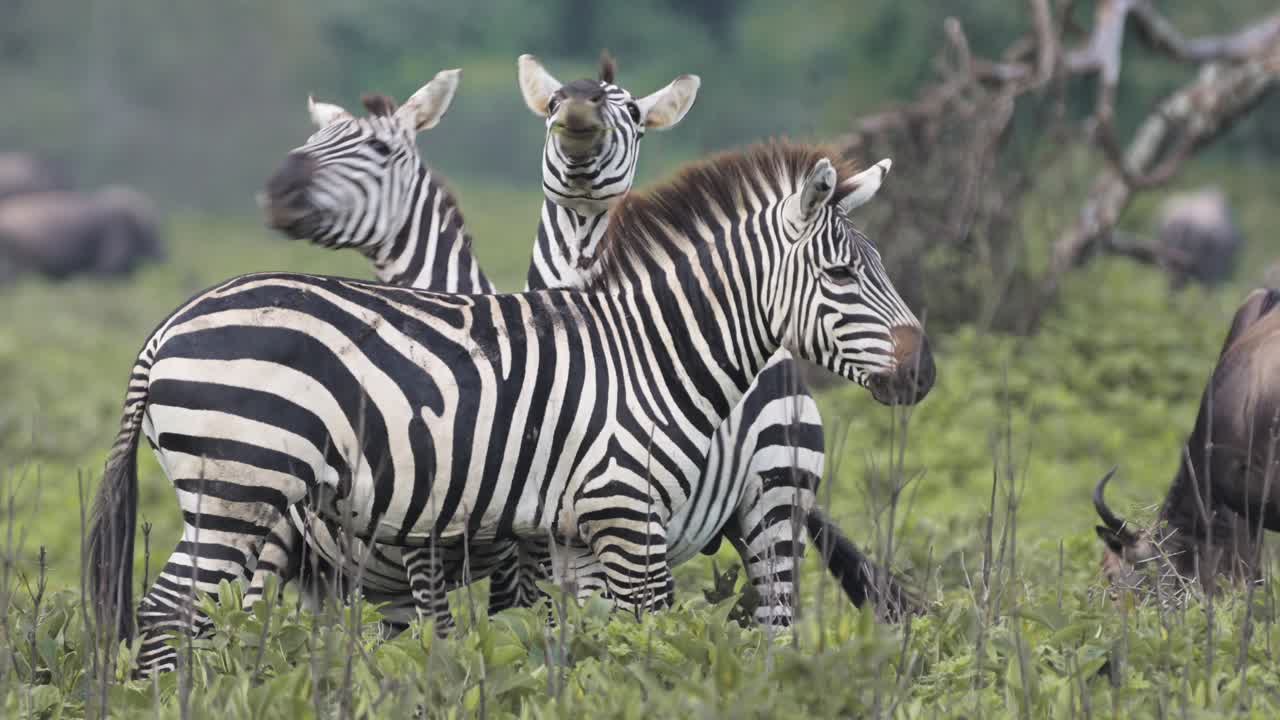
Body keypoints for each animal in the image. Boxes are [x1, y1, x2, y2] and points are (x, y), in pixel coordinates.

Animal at [88, 139, 934, 676]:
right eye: (840, 275)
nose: (923, 372)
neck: (651, 354)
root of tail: (165, 328)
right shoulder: (626, 517)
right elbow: (646, 638)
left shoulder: (577, 534)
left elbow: (586, 645)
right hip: (242, 489)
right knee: (168, 612)